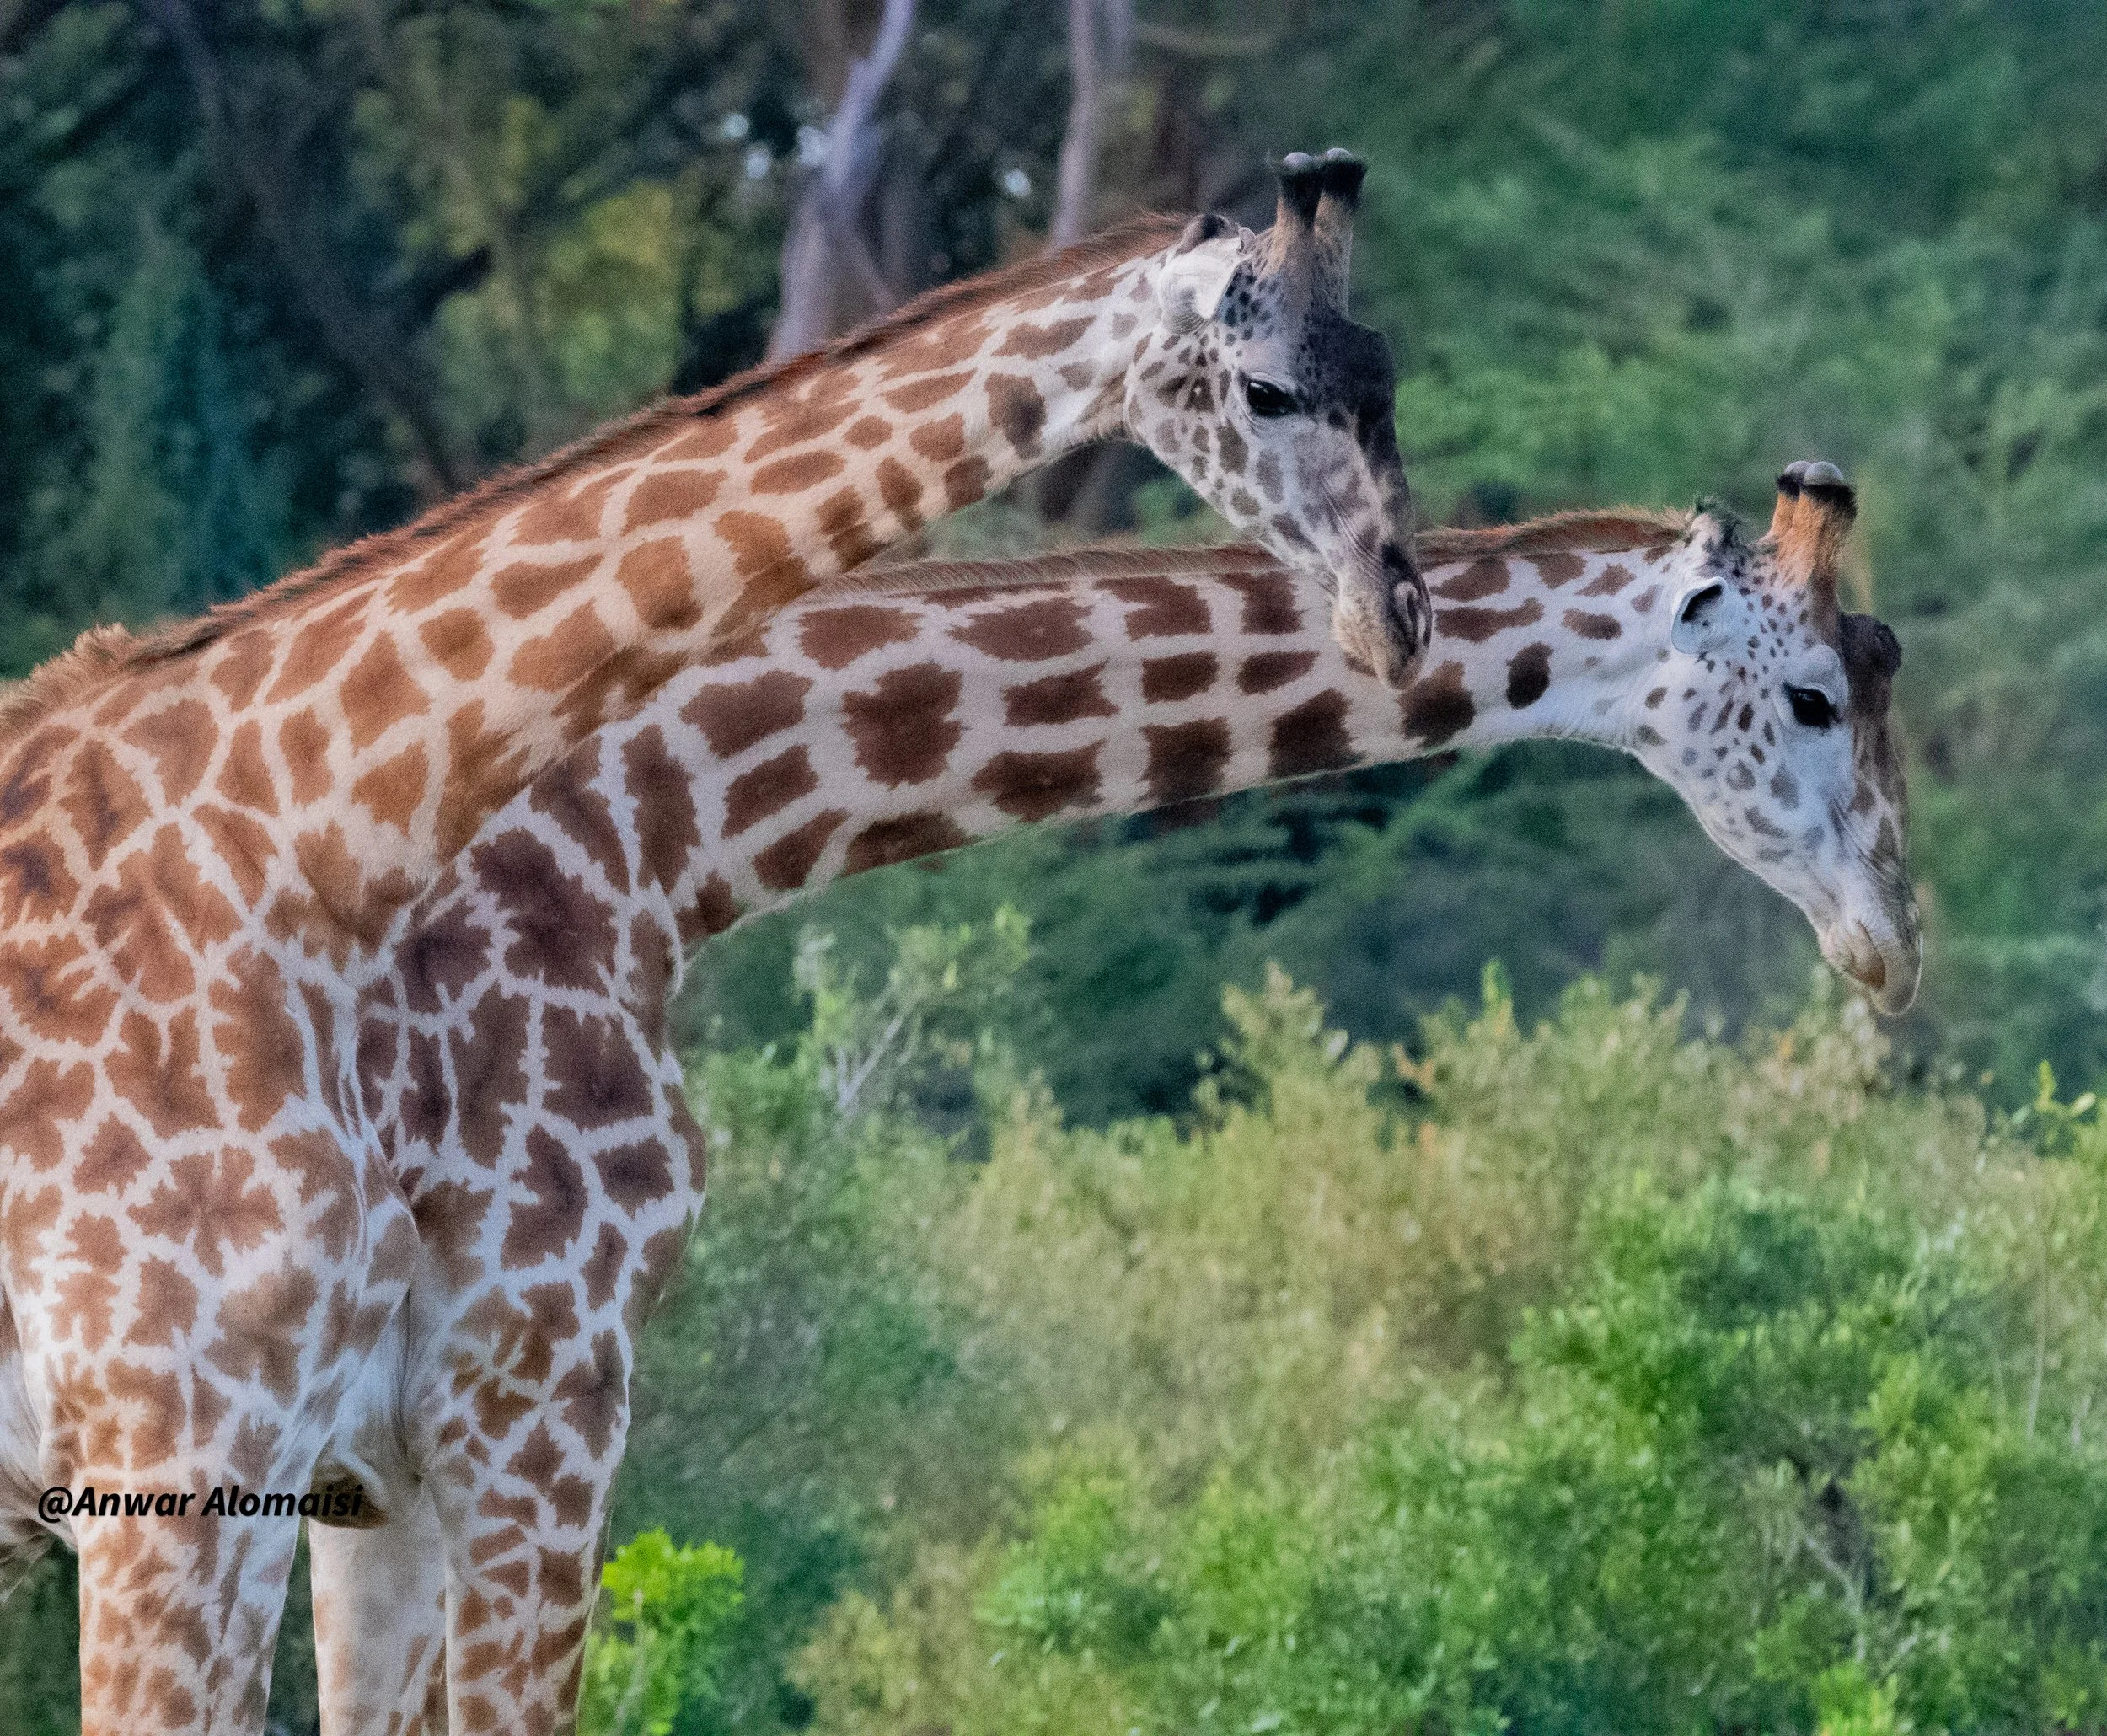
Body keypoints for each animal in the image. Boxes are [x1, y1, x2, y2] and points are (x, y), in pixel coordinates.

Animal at [0, 151, 1428, 1731]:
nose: (1398, 608)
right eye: (1268, 393)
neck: (305, 838)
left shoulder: (337, 1452)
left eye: (1388, 379)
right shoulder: (237, 1438)